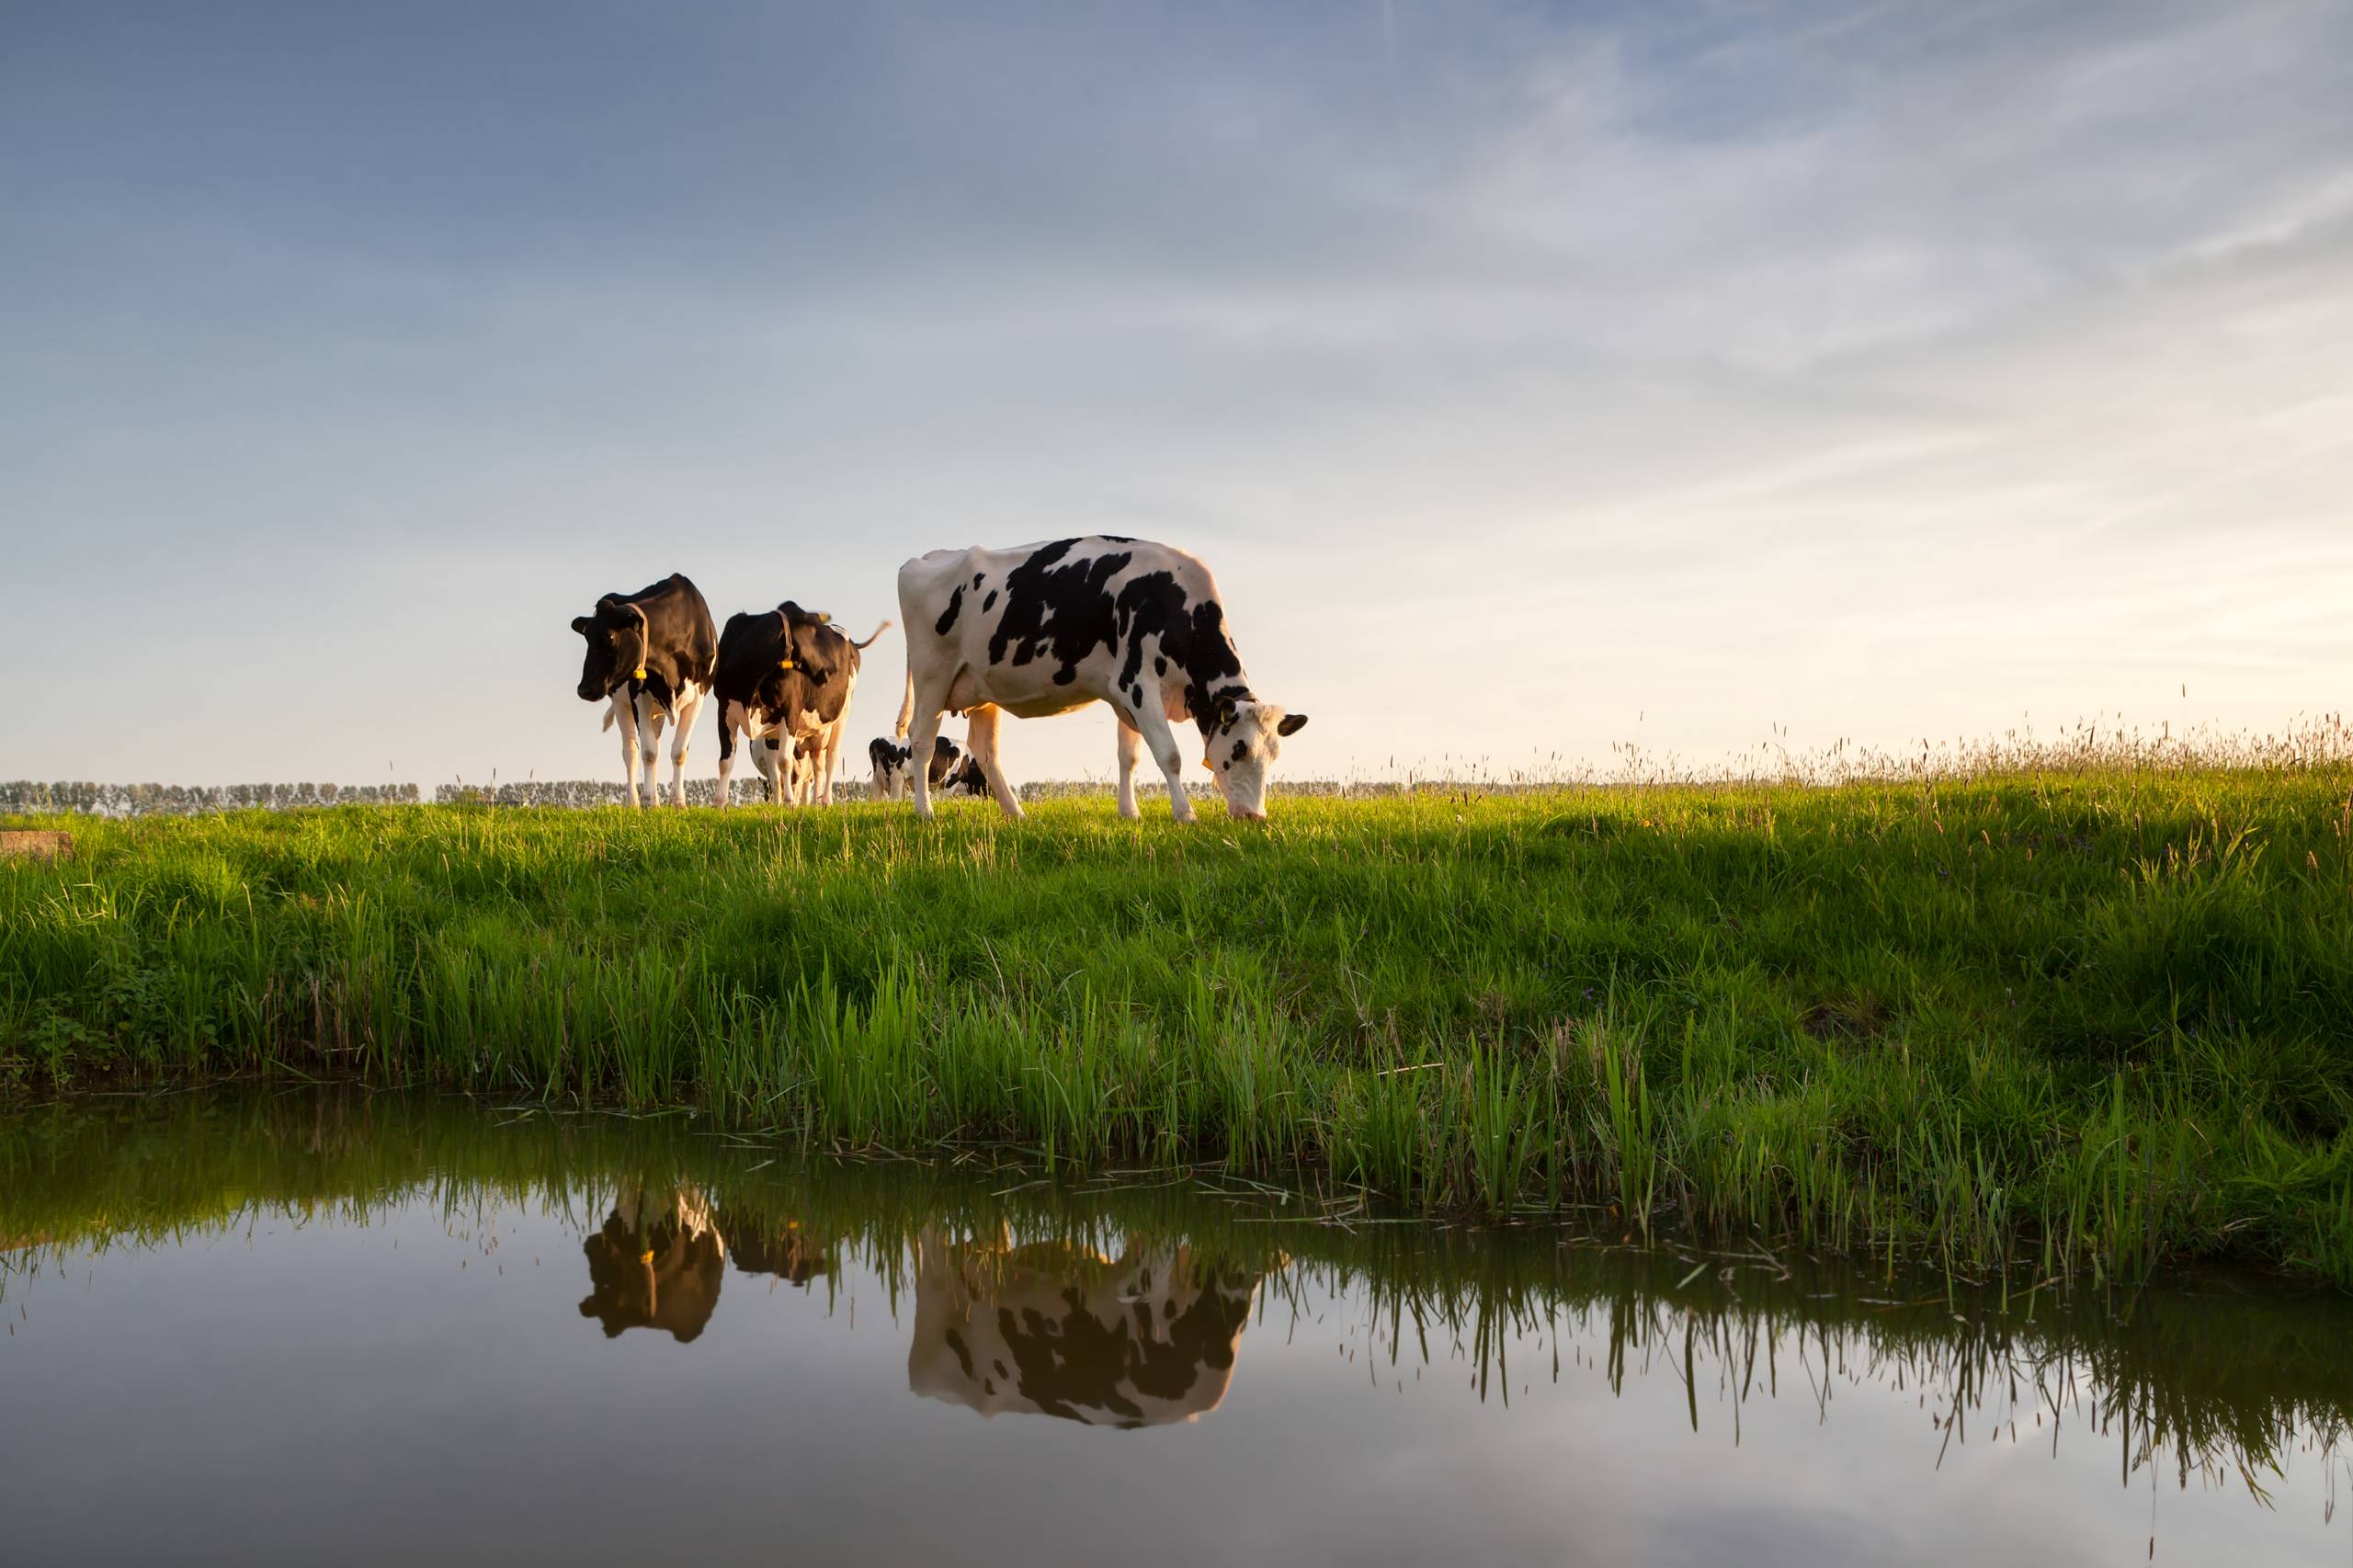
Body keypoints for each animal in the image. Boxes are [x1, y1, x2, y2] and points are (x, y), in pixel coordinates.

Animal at [572, 572, 715, 805]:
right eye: (586, 637)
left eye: (609, 637)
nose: (584, 689)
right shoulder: (638, 697)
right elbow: (648, 753)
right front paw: (649, 801)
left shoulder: (698, 697)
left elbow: (679, 752)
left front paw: (678, 802)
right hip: (621, 704)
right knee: (631, 752)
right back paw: (634, 801)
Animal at [706, 597, 889, 805]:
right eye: (813, 631)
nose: (832, 668)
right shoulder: (725, 712)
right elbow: (725, 762)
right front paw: (719, 803)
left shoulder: (790, 713)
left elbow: (784, 762)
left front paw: (789, 802)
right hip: (815, 731)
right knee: (817, 764)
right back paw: (816, 803)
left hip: (843, 712)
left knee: (831, 759)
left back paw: (826, 800)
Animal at [893, 537, 1308, 824]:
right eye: (1239, 750)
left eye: (1274, 755)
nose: (1255, 817)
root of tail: (929, 556)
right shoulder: (1137, 684)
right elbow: (1169, 754)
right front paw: (1185, 814)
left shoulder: (1126, 695)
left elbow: (1130, 756)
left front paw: (1130, 813)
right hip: (933, 674)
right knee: (922, 740)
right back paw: (925, 812)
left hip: (983, 689)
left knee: (986, 751)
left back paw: (1016, 813)